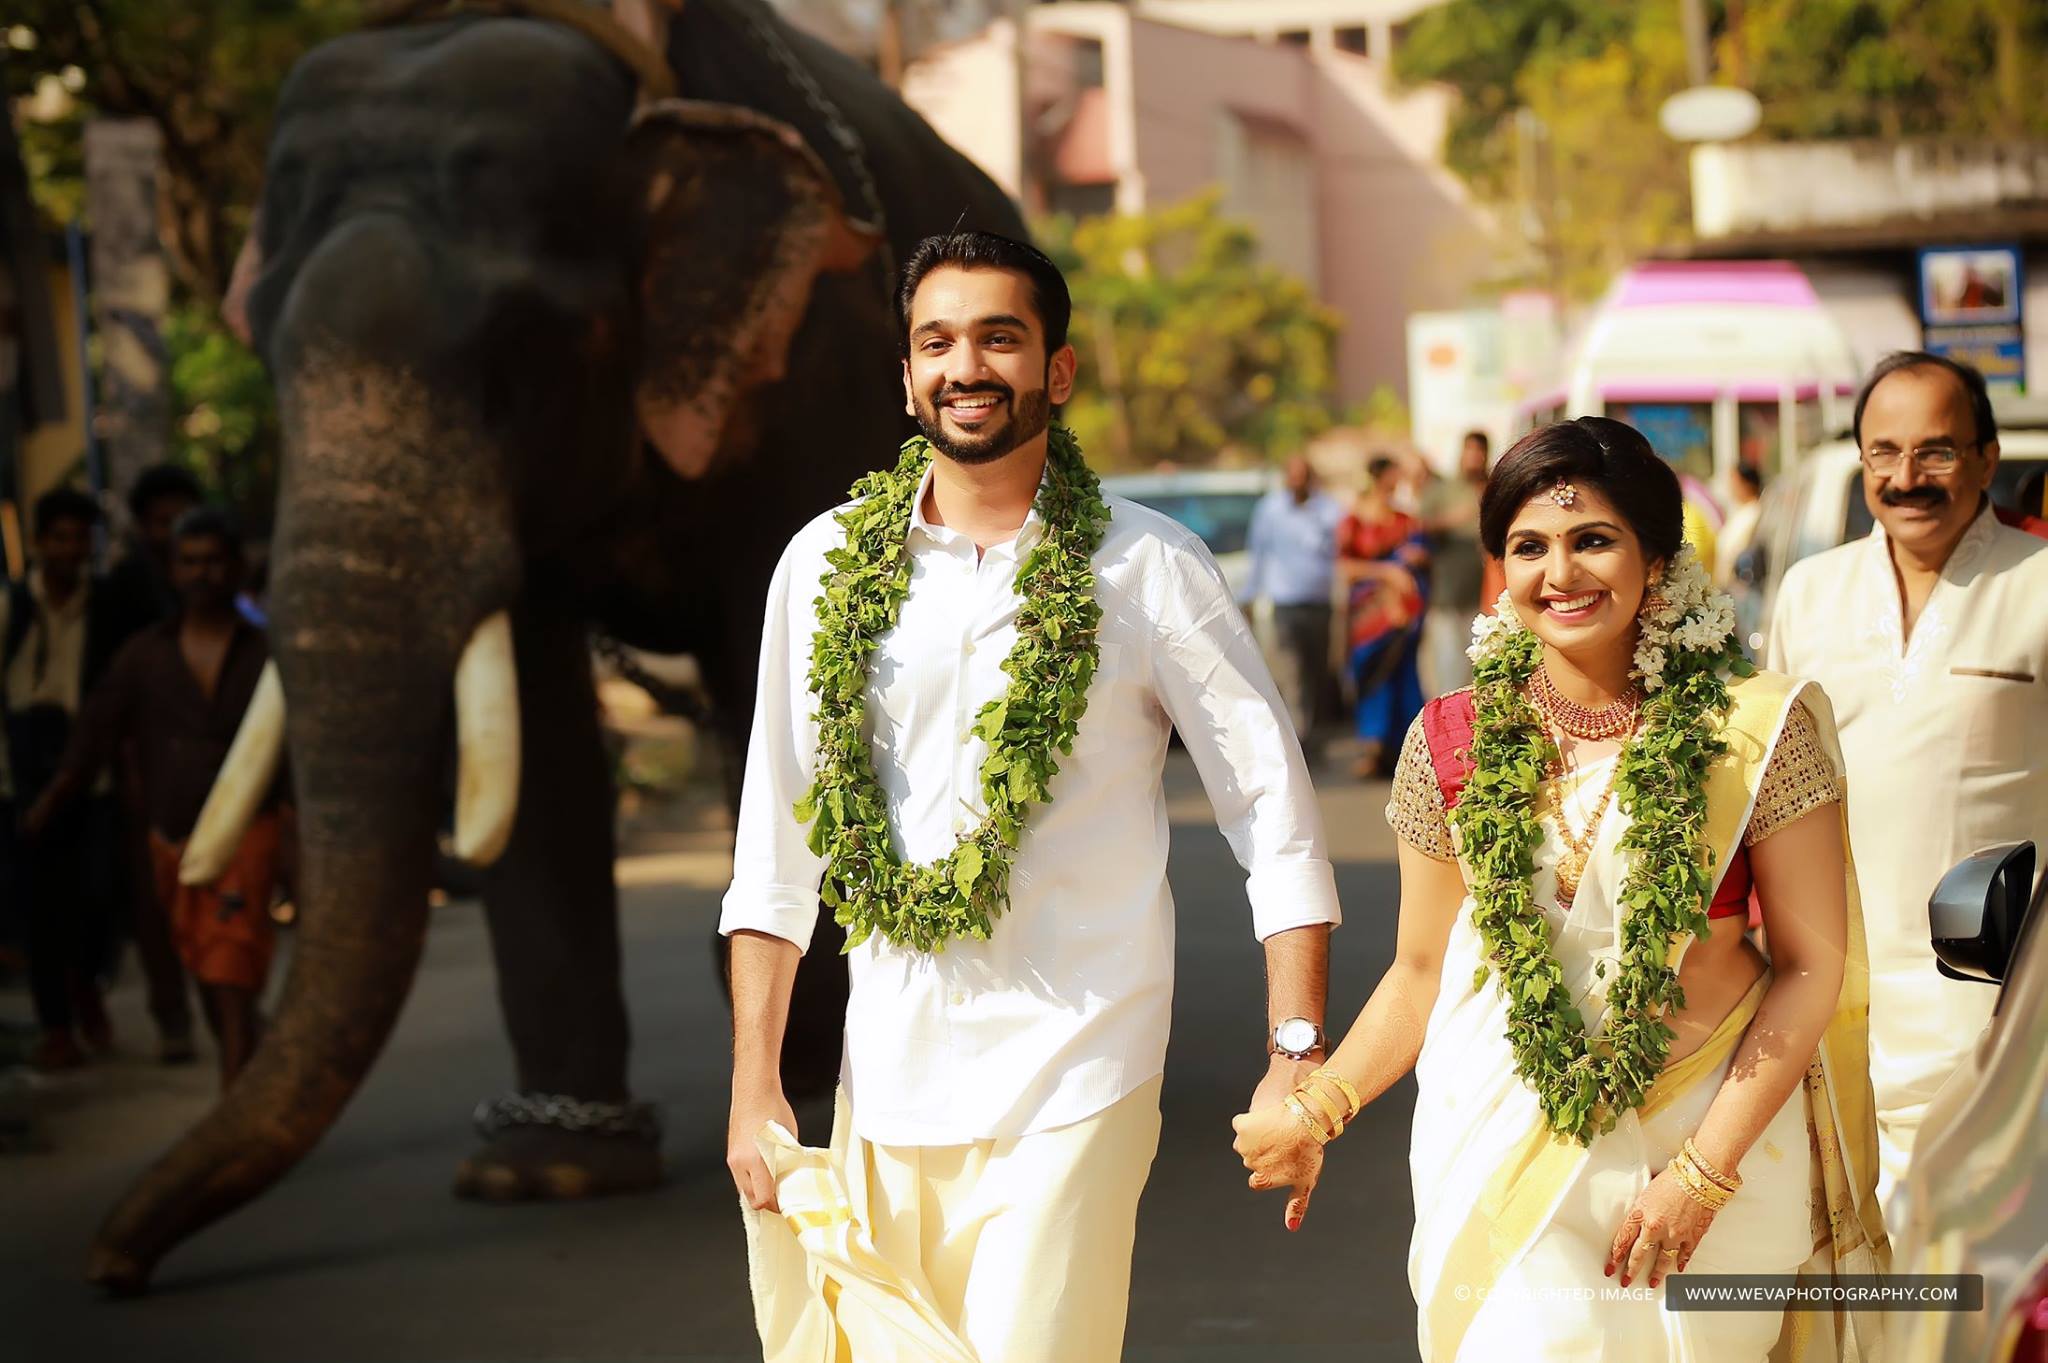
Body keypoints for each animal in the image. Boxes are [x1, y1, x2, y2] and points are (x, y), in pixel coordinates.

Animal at [83, 0, 1024, 1293]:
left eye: (520, 349)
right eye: (264, 351)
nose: (111, 1265)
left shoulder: (811, 358)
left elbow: (773, 675)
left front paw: (796, 1115)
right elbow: (535, 728)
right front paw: (541, 1173)